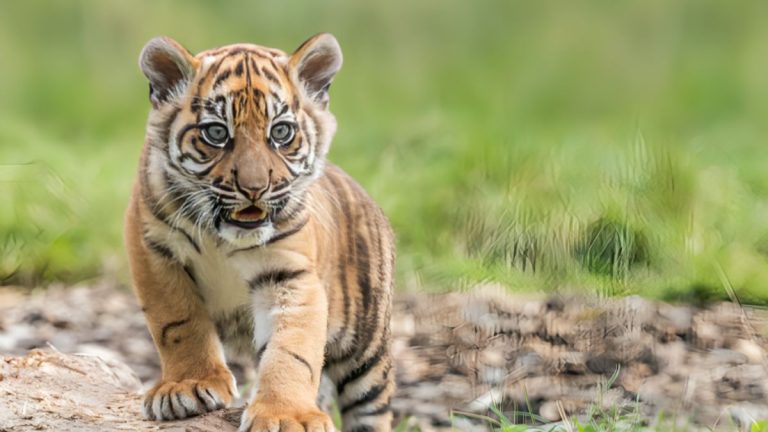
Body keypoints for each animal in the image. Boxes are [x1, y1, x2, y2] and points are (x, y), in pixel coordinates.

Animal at [123, 33, 395, 432]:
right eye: (216, 133)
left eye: (281, 132)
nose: (255, 188)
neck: (220, 235)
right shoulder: (154, 253)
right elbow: (179, 323)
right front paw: (188, 386)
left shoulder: (290, 272)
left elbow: (292, 351)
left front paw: (287, 415)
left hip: (367, 353)